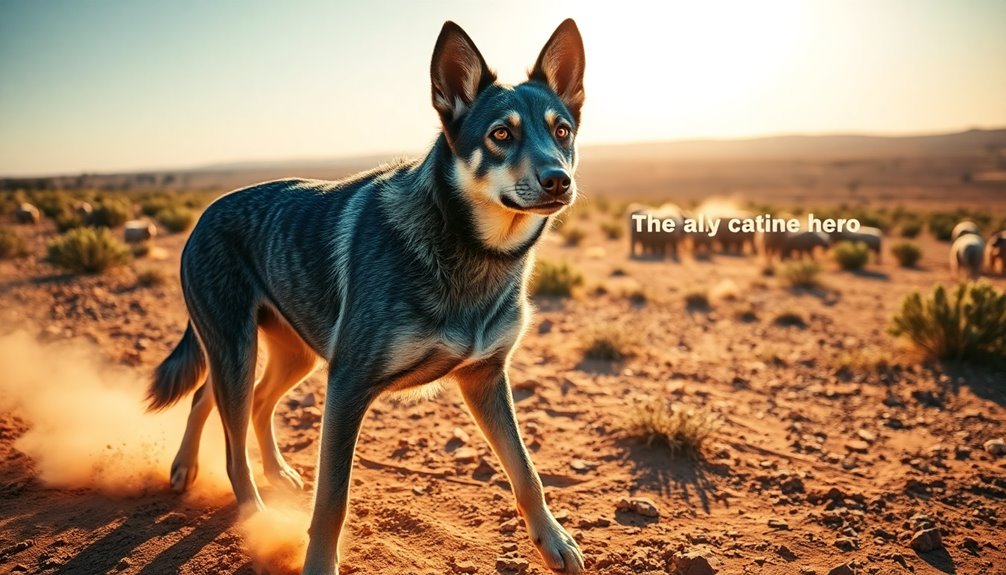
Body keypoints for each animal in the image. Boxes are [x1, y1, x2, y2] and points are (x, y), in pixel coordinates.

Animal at [150, 17, 587, 575]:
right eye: (500, 134)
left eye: (562, 131)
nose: (559, 180)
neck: (472, 248)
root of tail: (205, 214)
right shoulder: (349, 383)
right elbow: (332, 502)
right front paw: (317, 563)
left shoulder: (485, 377)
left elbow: (526, 471)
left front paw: (553, 540)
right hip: (237, 347)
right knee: (229, 437)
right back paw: (252, 513)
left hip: (289, 354)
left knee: (236, 402)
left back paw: (238, 471)